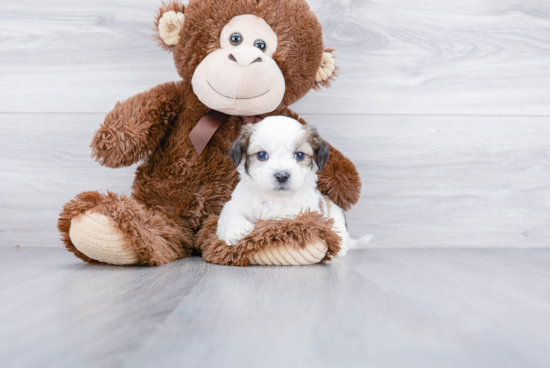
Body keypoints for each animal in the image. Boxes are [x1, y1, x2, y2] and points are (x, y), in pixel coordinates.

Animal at [218, 116, 374, 258]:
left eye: (299, 155)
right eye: (261, 155)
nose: (282, 176)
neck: (275, 199)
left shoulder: (307, 211)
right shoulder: (234, 204)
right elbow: (232, 214)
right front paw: (238, 229)